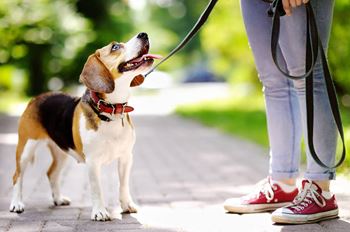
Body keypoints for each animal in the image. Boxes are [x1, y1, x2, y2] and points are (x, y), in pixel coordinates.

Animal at [8, 32, 161, 221]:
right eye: (115, 47)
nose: (144, 34)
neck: (111, 110)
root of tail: (36, 98)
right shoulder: (93, 162)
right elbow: (97, 189)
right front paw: (100, 212)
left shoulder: (126, 157)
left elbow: (123, 185)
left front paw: (126, 205)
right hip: (26, 148)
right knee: (17, 176)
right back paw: (17, 204)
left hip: (61, 152)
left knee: (51, 173)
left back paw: (58, 199)